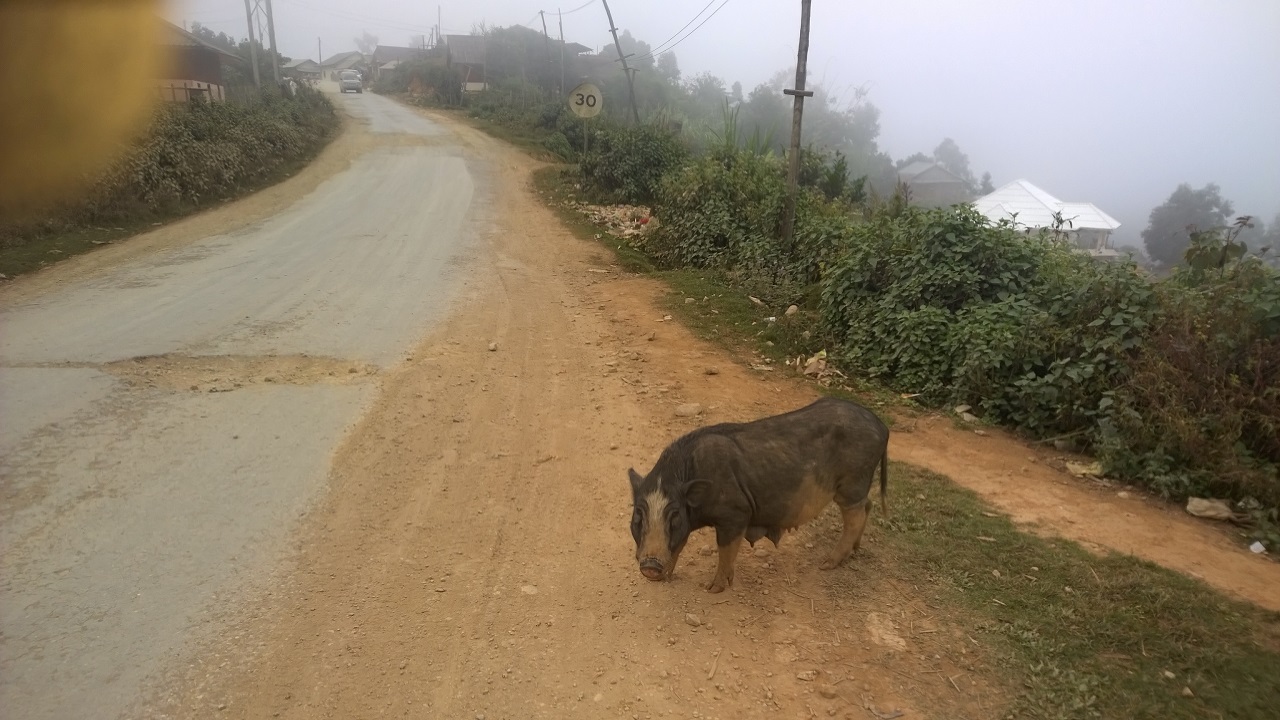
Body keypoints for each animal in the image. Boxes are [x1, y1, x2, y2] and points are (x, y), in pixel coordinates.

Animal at [629, 394, 890, 591]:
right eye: (638, 515)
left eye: (674, 516)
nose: (650, 566)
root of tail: (882, 426)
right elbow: (681, 544)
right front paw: (666, 579)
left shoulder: (735, 514)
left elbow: (725, 550)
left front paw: (712, 589)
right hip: (858, 485)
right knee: (867, 506)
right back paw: (854, 551)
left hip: (852, 482)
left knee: (855, 516)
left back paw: (826, 564)